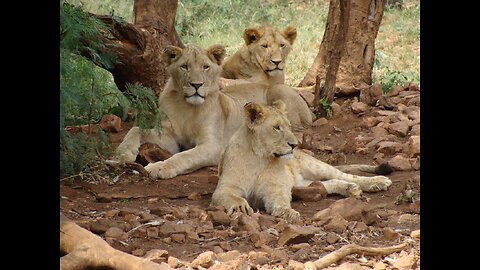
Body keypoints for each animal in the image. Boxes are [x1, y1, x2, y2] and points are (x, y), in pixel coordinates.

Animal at [114, 44, 314, 179]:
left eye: (205, 67)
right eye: (184, 66)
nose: (196, 85)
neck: (187, 108)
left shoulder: (213, 146)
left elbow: (185, 156)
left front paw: (160, 167)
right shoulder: (169, 138)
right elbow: (135, 130)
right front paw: (121, 154)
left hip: (278, 91)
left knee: (299, 132)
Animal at [212, 100, 392, 220]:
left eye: (289, 126)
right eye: (276, 127)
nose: (294, 144)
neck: (259, 158)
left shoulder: (276, 188)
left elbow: (280, 200)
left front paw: (287, 212)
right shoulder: (224, 188)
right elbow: (232, 197)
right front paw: (240, 206)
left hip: (315, 166)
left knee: (346, 176)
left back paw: (377, 182)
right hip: (300, 182)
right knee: (326, 184)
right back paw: (350, 189)